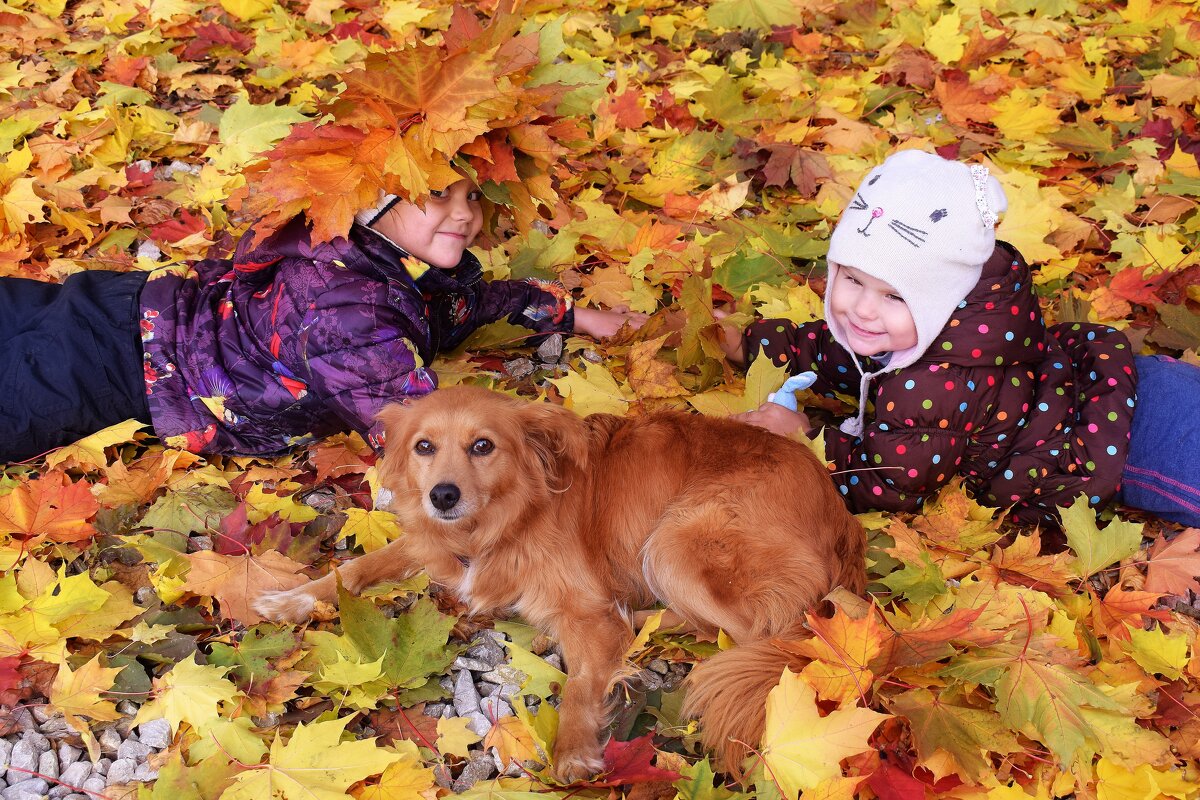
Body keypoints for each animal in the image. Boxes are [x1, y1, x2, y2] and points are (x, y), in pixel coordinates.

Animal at [255, 388, 864, 782]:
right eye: (424, 447)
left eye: (483, 446)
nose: (442, 496)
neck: (502, 524)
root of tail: (841, 517)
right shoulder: (433, 545)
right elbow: (357, 568)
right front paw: (290, 599)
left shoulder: (585, 612)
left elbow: (579, 683)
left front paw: (573, 749)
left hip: (676, 541)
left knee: (751, 635)